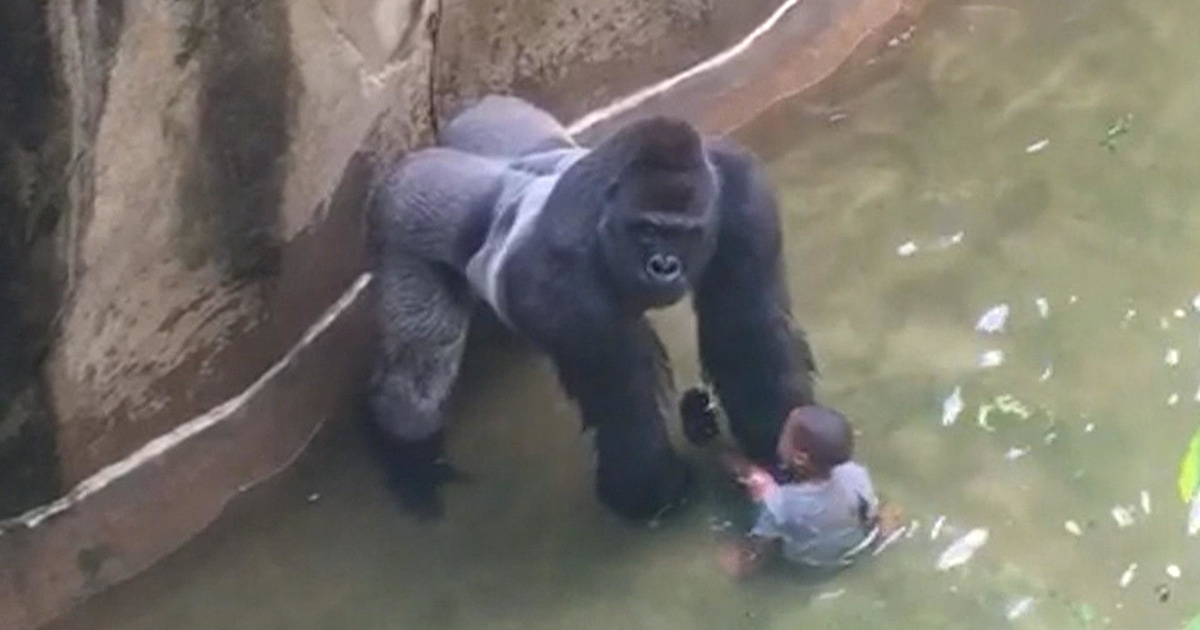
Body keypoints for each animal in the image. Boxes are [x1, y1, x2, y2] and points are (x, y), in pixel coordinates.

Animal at [367, 95, 817, 521]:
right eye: (646, 230)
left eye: (685, 233)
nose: (664, 267)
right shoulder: (562, 276)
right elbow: (624, 397)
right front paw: (653, 494)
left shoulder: (744, 199)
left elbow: (748, 332)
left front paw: (775, 440)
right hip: (410, 215)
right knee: (421, 373)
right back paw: (412, 459)